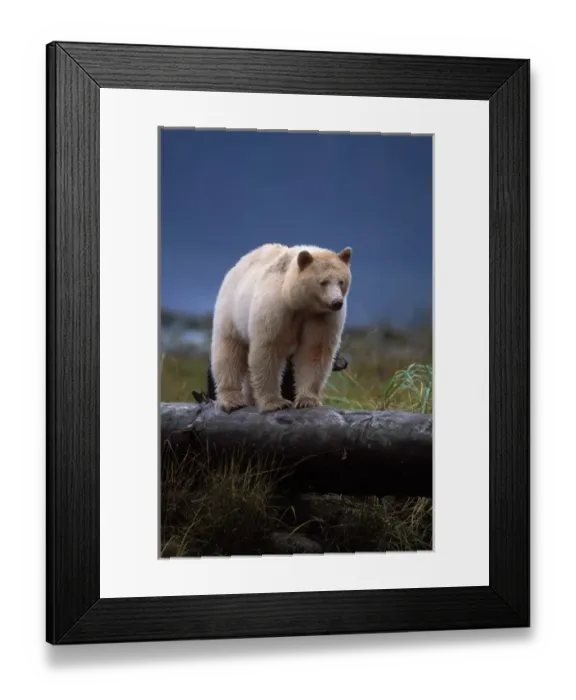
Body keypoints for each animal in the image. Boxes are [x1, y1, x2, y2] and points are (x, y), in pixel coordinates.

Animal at [210, 242, 352, 413]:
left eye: (341, 281)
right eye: (323, 282)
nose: (337, 302)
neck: (299, 303)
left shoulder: (321, 317)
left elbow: (315, 351)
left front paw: (307, 400)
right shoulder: (276, 307)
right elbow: (269, 349)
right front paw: (276, 403)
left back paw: (250, 398)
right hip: (232, 310)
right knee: (229, 351)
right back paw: (231, 399)